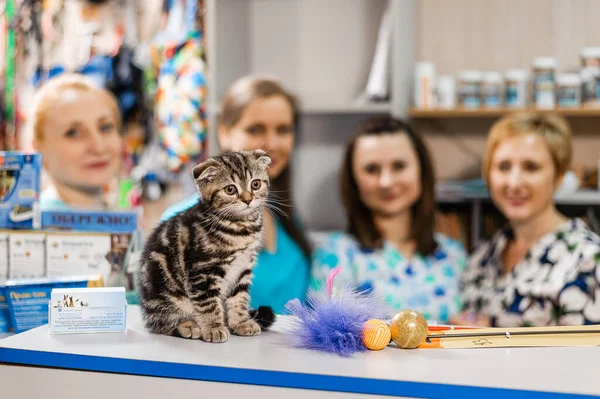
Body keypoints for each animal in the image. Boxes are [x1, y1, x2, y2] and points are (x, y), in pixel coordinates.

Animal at [138, 150, 274, 344]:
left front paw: (241, 322)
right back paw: (187, 326)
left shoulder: (243, 269)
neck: (240, 228)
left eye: (255, 184)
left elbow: (239, 297)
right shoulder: (202, 271)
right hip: (163, 291)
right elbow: (208, 303)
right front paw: (213, 328)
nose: (248, 200)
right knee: (160, 322)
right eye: (230, 189)